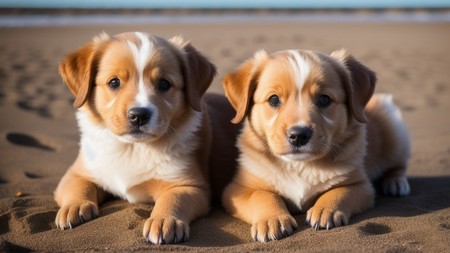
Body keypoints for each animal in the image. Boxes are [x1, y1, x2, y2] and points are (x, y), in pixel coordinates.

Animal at [53, 31, 221, 243]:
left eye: (164, 84)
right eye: (114, 82)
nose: (139, 115)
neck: (132, 148)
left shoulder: (191, 186)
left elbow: (174, 198)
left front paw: (165, 220)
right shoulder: (77, 172)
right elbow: (78, 186)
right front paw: (74, 206)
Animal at [222, 49, 412, 241]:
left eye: (324, 99)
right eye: (274, 100)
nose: (298, 135)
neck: (300, 166)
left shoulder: (360, 185)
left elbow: (339, 191)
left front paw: (326, 209)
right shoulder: (237, 190)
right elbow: (262, 196)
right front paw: (271, 219)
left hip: (395, 132)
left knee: (398, 165)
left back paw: (396, 183)